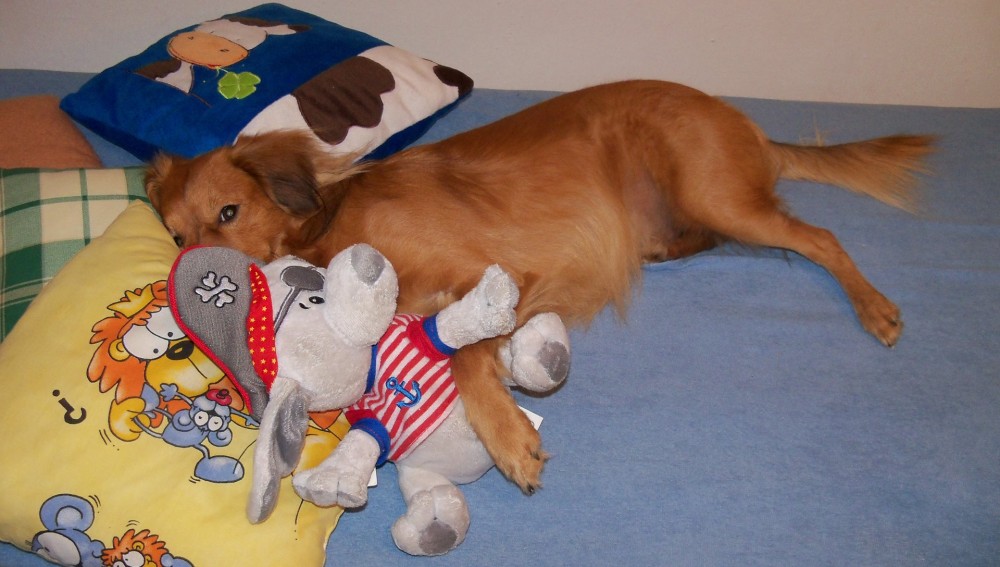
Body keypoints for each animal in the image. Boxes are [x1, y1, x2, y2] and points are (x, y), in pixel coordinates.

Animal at [145, 79, 935, 493]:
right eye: (177, 236)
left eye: (229, 212)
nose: (196, 280)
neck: (333, 223)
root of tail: (743, 121)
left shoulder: (497, 275)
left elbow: (464, 355)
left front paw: (508, 438)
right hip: (702, 209)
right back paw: (662, 248)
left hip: (715, 193)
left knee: (820, 239)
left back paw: (875, 308)